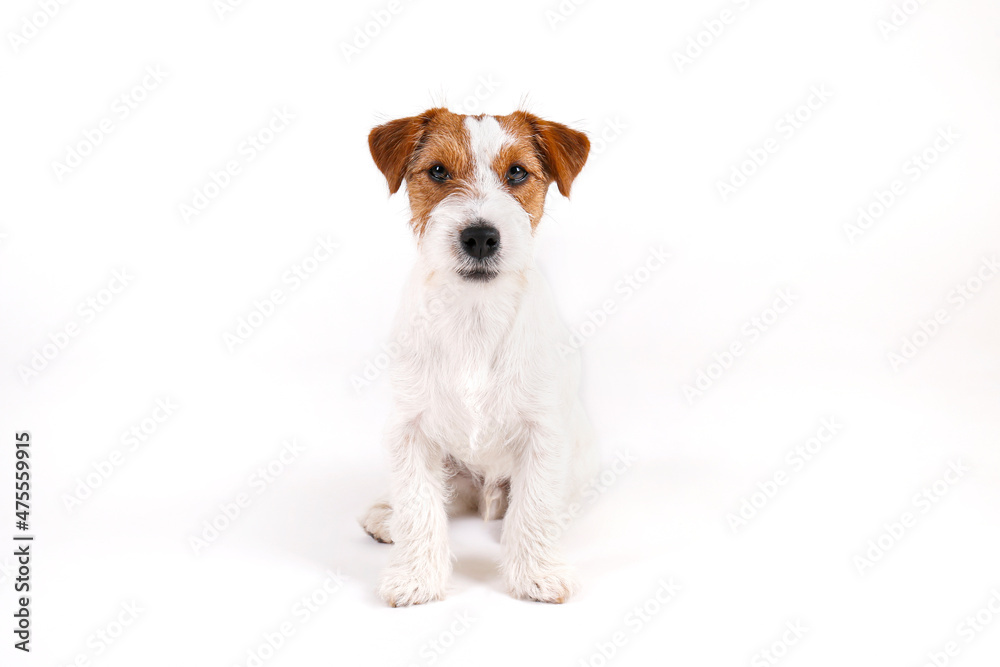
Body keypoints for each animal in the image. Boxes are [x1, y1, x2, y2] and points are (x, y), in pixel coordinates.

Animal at [364, 107, 596, 608]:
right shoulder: (410, 431)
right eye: (437, 171)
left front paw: (538, 573)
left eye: (517, 173)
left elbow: (535, 506)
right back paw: (388, 516)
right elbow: (418, 504)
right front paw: (415, 577)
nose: (480, 237)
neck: (474, 314)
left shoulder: (542, 432)